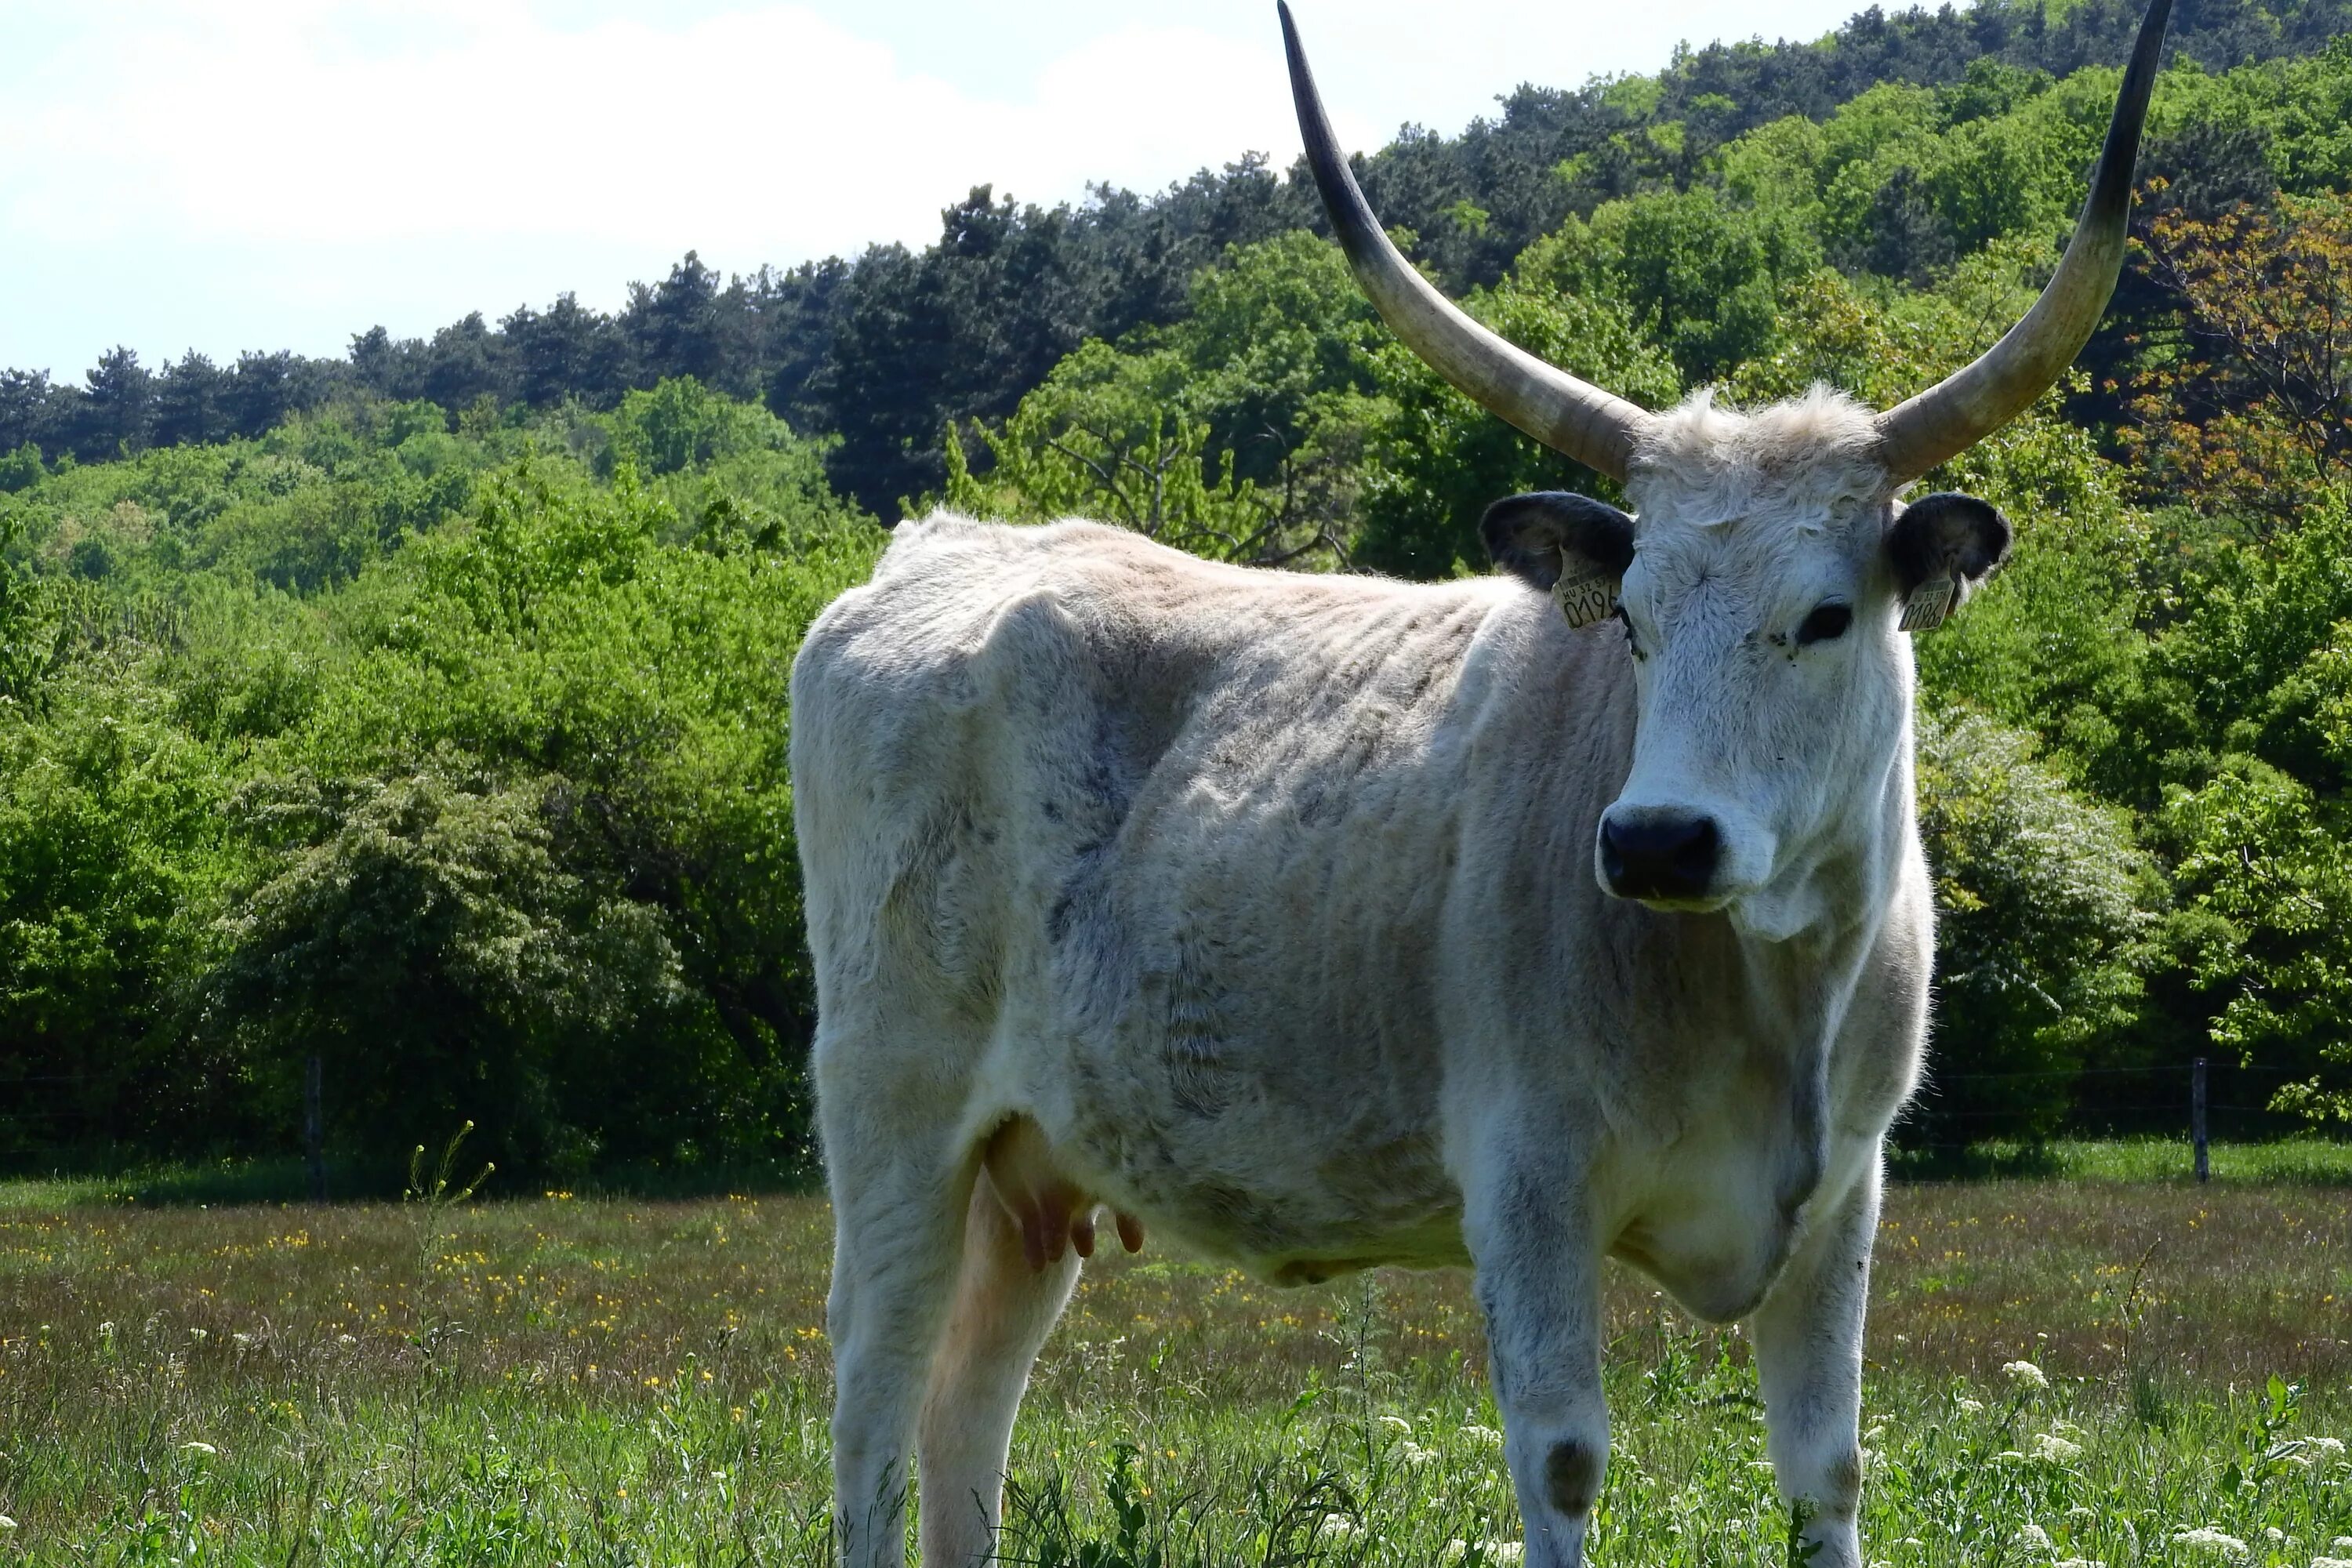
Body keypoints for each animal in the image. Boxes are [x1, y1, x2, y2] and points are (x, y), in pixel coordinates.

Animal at [790, 2, 2164, 1561]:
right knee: (875, 1400)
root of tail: (946, 549)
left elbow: (1829, 1468)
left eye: (1827, 616)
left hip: (1032, 1174)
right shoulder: (1528, 1184)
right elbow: (1561, 1460)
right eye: (1631, 618)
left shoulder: (1843, 1203)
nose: (1657, 842)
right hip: (895, 1117)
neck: (1770, 994)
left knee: (967, 1411)